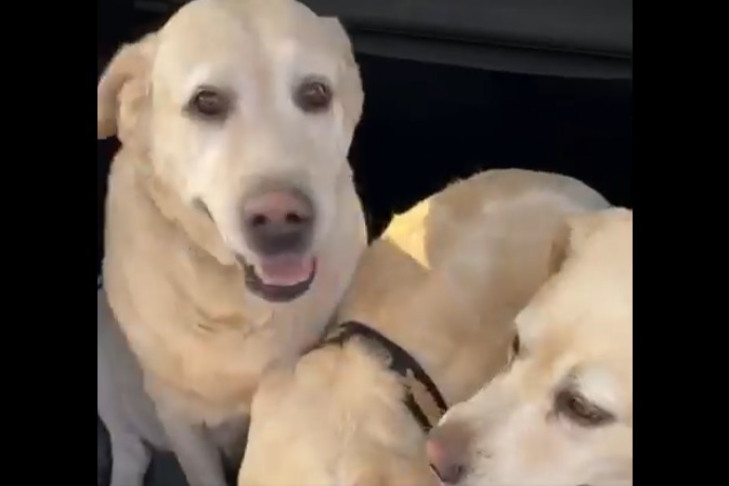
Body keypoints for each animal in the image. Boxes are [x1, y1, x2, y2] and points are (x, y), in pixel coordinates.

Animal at [96, 1, 367, 485]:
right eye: (206, 102)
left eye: (316, 93)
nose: (280, 219)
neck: (239, 305)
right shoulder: (178, 416)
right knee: (129, 447)